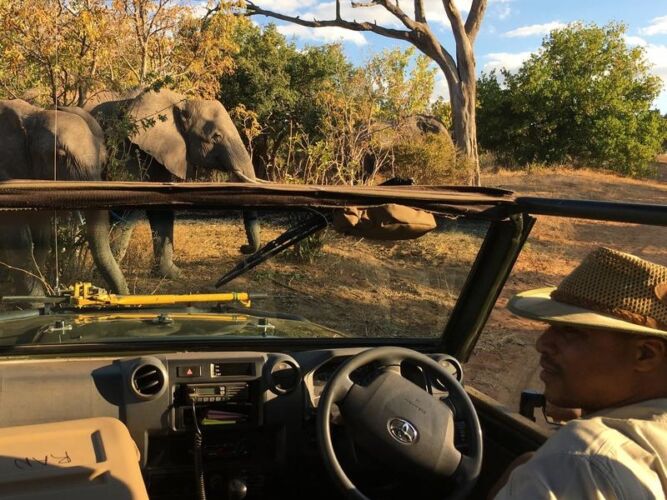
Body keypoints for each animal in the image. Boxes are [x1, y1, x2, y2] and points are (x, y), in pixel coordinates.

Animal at [0, 99, 129, 296]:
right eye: (59, 157)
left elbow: (42, 237)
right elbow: (17, 238)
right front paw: (37, 299)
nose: (106, 292)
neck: (32, 117)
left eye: (103, 160)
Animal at [91, 88, 261, 279]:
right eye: (216, 137)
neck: (181, 103)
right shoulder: (128, 149)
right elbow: (127, 203)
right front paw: (102, 275)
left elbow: (161, 207)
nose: (243, 248)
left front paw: (173, 275)